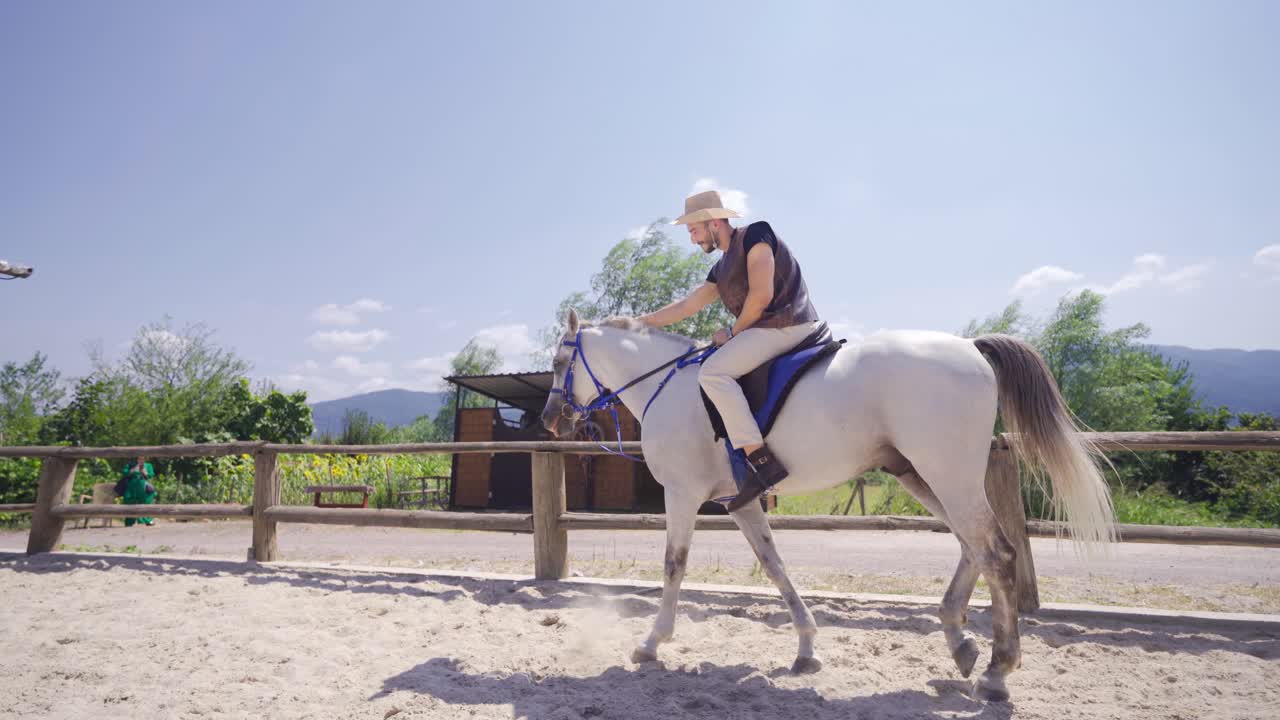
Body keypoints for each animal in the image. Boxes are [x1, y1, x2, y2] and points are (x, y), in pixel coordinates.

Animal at [540, 309, 1115, 702]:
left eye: (559, 362)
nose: (549, 419)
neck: (669, 385)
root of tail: (970, 348)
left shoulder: (682, 494)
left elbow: (673, 566)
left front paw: (651, 643)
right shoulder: (739, 502)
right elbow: (774, 565)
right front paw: (806, 649)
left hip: (947, 474)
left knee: (995, 552)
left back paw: (997, 671)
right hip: (922, 475)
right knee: (971, 547)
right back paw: (962, 644)